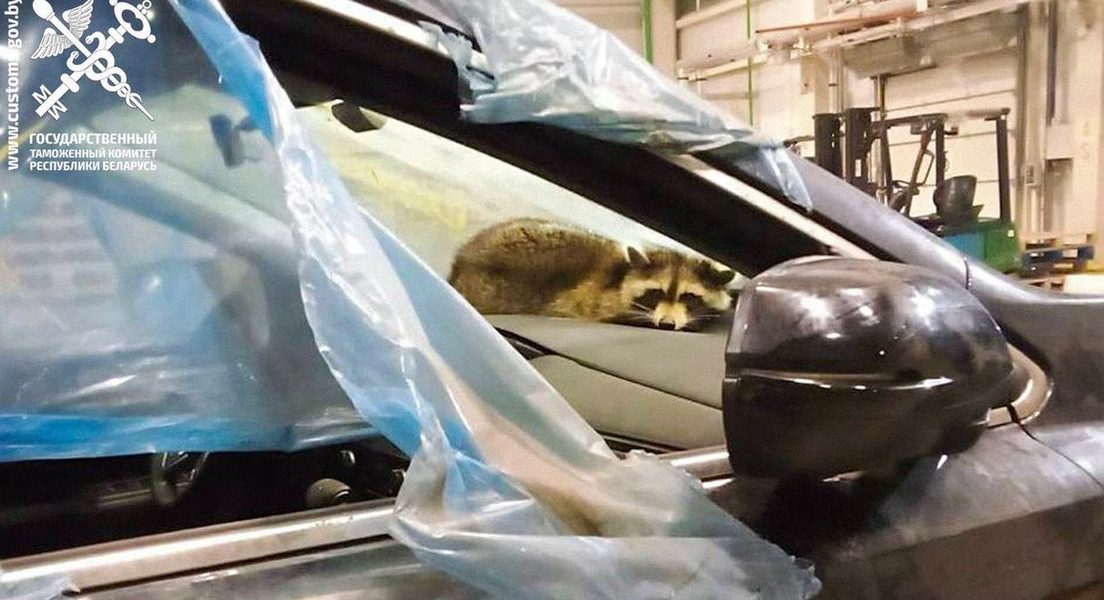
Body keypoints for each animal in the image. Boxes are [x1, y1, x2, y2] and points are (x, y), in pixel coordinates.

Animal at [448, 218, 736, 331]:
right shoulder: (597, 302)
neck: (622, 275)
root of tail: (462, 260)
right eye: (656, 293)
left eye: (690, 297)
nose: (666, 325)